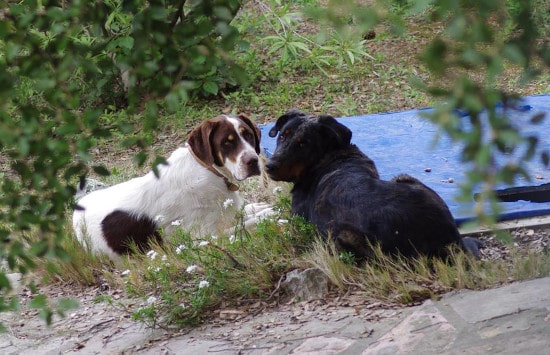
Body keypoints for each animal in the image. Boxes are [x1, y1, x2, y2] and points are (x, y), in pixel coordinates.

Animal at [73, 115, 272, 260]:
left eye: (248, 135)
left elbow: (244, 213)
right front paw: (268, 214)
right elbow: (248, 223)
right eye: (226, 143)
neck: (210, 171)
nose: (253, 161)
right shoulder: (206, 236)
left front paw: (257, 207)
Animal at [266, 110, 480, 260]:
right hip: (405, 179)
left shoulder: (297, 223)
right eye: (282, 136)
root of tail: (451, 241)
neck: (329, 155)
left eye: (303, 144)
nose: (269, 166)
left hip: (344, 236)